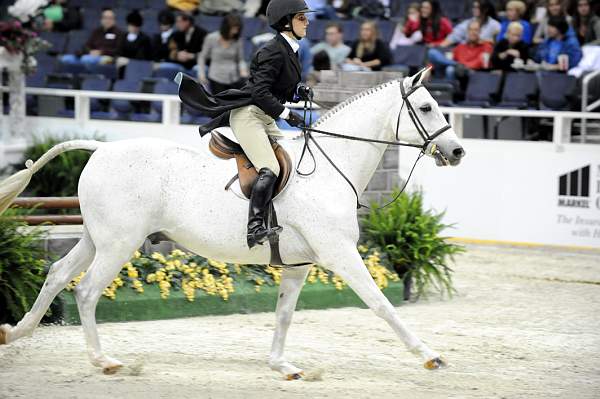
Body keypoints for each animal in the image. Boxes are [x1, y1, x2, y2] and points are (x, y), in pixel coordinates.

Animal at [0, 69, 464, 378]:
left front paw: (282, 365)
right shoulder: (340, 255)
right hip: (118, 243)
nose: (458, 152)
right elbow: (381, 305)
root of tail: (100, 149)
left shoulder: (300, 265)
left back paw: (15, 333)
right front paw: (428, 354)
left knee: (58, 273)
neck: (331, 167)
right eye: (426, 107)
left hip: (97, 238)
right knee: (86, 290)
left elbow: (284, 314)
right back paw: (104, 360)